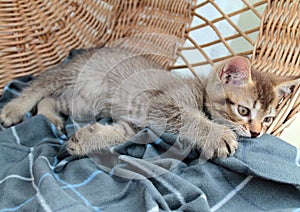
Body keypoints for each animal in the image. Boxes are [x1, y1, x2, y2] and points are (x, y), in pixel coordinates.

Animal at [0, 47, 300, 158]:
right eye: (243, 110)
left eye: (268, 119)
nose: (256, 132)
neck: (200, 93)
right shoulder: (159, 104)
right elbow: (188, 118)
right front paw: (217, 135)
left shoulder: (138, 123)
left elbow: (118, 134)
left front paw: (85, 141)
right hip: (68, 76)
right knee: (37, 87)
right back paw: (12, 110)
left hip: (80, 103)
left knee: (48, 101)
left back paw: (54, 120)